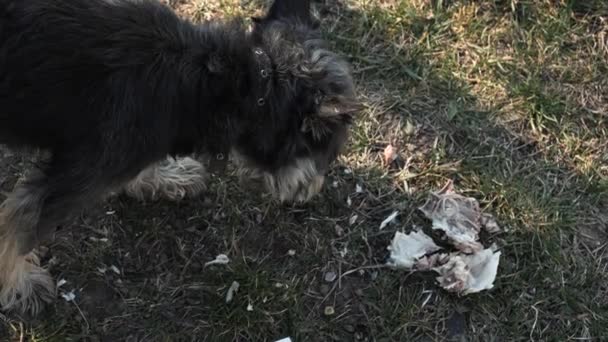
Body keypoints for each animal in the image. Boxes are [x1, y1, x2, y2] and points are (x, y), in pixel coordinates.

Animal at [0, 0, 358, 316]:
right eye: (328, 150)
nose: (312, 190)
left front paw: (167, 178)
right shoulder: (75, 178)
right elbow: (16, 228)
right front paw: (22, 285)